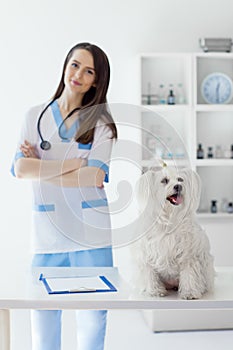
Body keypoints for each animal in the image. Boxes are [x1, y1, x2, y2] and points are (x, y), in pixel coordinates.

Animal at [132, 165, 216, 300]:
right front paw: (155, 291)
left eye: (180, 179)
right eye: (164, 181)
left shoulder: (189, 254)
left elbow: (189, 274)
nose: (178, 186)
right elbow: (150, 273)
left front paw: (189, 292)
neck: (170, 218)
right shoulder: (147, 254)